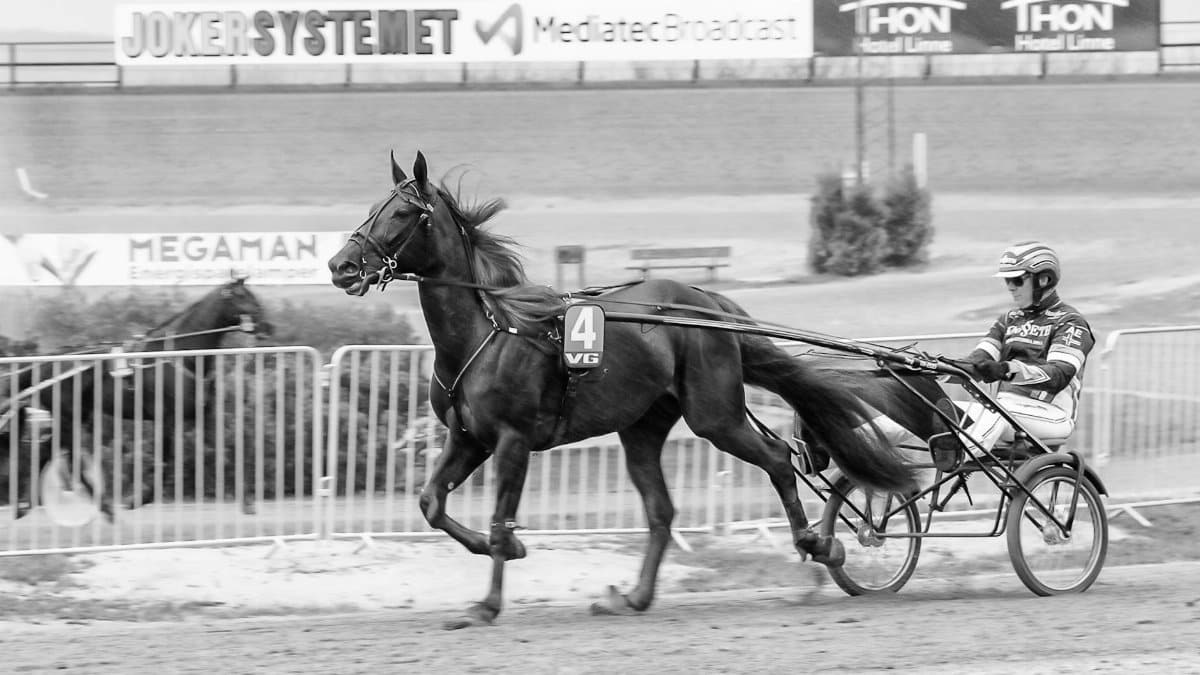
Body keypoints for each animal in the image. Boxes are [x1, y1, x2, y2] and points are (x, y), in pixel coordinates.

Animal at [2, 277, 273, 520]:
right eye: (243, 296)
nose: (268, 326)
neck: (181, 355)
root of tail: (43, 364)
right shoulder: (167, 418)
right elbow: (166, 460)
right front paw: (138, 498)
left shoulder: (203, 414)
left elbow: (226, 452)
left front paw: (248, 503)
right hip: (70, 415)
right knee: (70, 457)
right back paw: (105, 507)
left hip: (75, 414)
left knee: (47, 451)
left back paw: (25, 506)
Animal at [327, 150, 919, 628]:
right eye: (374, 207)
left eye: (401, 214)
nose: (341, 265)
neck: (487, 331)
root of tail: (708, 302)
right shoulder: (468, 438)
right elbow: (431, 503)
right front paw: (511, 549)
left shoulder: (513, 441)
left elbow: (497, 521)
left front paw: (487, 603)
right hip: (642, 427)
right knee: (661, 511)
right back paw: (633, 597)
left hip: (715, 413)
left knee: (776, 458)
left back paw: (819, 545)